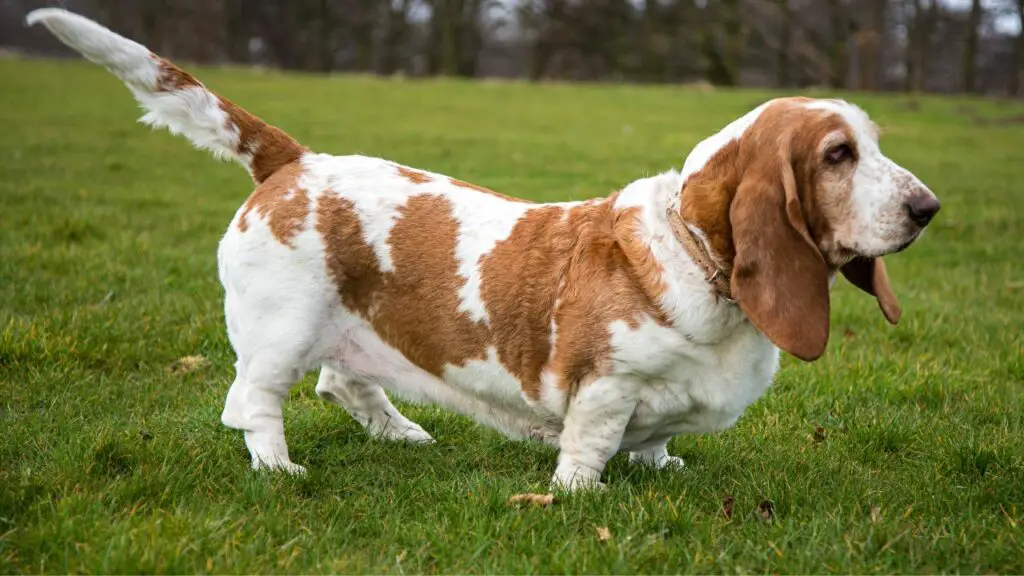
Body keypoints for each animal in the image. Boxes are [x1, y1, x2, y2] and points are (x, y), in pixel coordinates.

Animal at [25, 8, 937, 487]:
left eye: (874, 144)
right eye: (837, 156)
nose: (928, 208)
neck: (694, 255)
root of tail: (295, 160)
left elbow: (657, 440)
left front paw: (663, 466)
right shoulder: (605, 386)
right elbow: (593, 442)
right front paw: (580, 494)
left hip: (346, 327)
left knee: (342, 381)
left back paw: (401, 434)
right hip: (280, 330)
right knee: (253, 403)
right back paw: (281, 471)